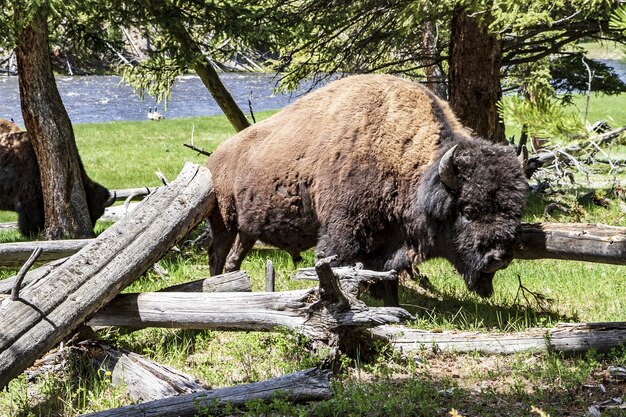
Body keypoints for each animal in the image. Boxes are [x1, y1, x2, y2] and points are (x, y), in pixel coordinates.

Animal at [206, 74, 528, 306]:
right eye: (468, 210)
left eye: (514, 212)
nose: (499, 257)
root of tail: (215, 157)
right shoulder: (343, 235)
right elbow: (340, 268)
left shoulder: (389, 244)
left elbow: (388, 276)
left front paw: (391, 306)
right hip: (224, 224)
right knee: (217, 254)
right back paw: (215, 287)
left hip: (247, 231)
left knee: (234, 257)